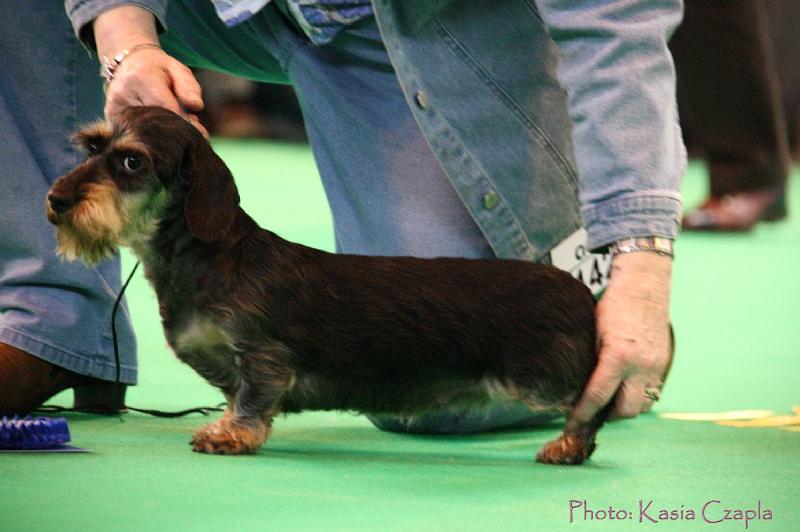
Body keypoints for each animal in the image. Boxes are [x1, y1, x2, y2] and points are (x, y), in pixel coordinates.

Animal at [47, 106, 608, 464]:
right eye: (92, 146)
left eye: (132, 161)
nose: (56, 199)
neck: (207, 260)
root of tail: (579, 291)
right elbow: (235, 398)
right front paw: (224, 426)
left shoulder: (263, 357)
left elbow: (252, 400)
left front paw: (234, 436)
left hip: (541, 377)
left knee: (592, 403)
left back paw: (569, 446)